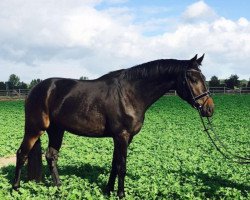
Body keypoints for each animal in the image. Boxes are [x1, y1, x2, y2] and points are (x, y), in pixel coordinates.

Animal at [12, 54, 215, 198]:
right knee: (21, 154)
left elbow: (115, 164)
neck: (130, 94)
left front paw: (108, 190)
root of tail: (35, 90)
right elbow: (122, 166)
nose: (209, 108)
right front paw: (121, 194)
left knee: (51, 156)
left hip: (56, 130)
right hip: (34, 128)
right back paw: (15, 188)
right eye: (192, 78)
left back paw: (59, 188)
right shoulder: (122, 136)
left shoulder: (125, 138)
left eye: (203, 77)